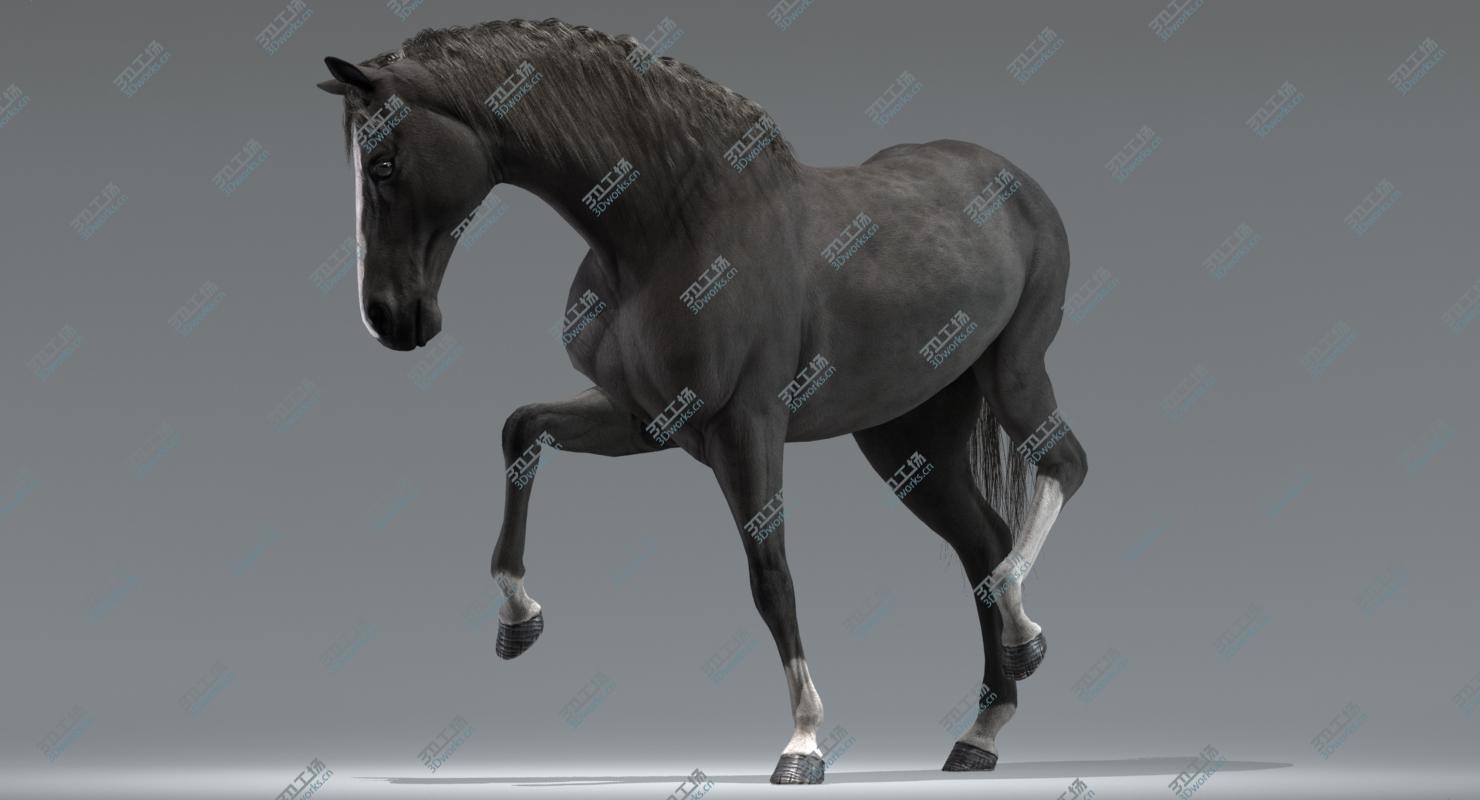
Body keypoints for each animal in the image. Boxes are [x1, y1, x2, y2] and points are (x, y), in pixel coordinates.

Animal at [316, 18, 1087, 784]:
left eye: (382, 163)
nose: (387, 318)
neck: (671, 227)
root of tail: (1015, 184)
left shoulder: (746, 426)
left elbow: (770, 574)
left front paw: (803, 742)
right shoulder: (648, 420)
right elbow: (520, 430)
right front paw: (518, 619)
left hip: (1012, 372)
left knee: (1061, 472)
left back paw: (1024, 637)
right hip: (908, 437)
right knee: (982, 541)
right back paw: (982, 731)